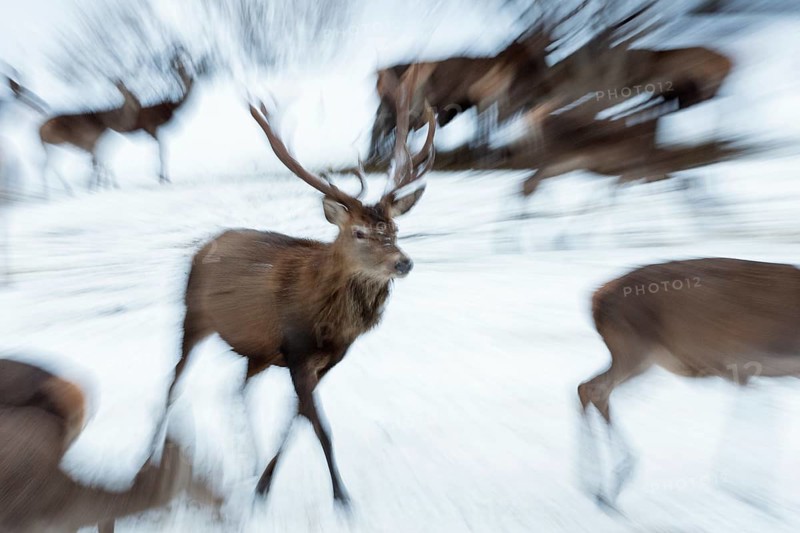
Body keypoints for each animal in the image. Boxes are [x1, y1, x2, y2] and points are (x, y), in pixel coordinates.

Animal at [149, 67, 436, 506]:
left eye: (395, 229)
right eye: (359, 233)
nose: (403, 262)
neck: (329, 326)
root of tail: (204, 246)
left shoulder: (326, 361)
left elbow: (298, 419)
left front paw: (265, 482)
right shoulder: (296, 351)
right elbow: (320, 427)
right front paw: (341, 496)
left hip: (255, 351)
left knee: (235, 389)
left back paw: (248, 462)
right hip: (192, 316)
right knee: (173, 379)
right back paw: (153, 451)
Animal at [578, 257, 800, 509]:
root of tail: (594, 299)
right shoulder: (746, 366)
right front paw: (752, 494)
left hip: (642, 359)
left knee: (589, 388)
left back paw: (602, 486)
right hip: (634, 347)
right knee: (594, 388)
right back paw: (608, 483)